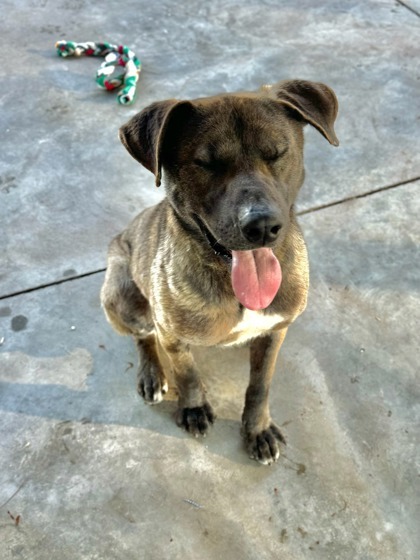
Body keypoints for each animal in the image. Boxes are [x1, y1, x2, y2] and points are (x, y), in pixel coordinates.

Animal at [101, 79, 338, 464]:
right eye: (205, 164)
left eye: (277, 153)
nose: (262, 226)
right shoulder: (172, 334)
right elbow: (187, 374)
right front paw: (194, 407)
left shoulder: (276, 332)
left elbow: (260, 385)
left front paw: (257, 428)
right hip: (122, 297)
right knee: (143, 335)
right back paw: (151, 373)